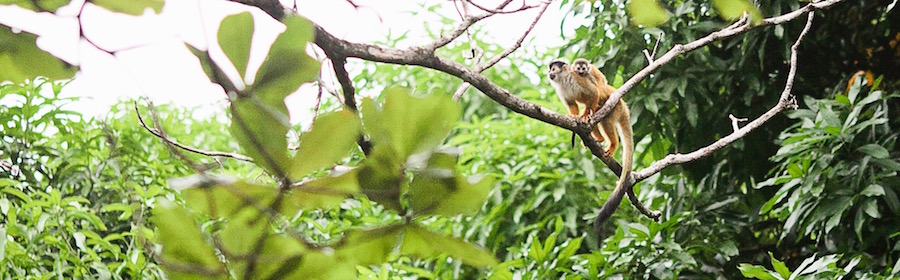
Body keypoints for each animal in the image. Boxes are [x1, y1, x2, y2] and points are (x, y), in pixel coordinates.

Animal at [544, 58, 636, 231]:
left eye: (553, 69)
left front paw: (586, 115)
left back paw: (611, 143)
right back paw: (598, 138)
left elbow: (593, 93)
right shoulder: (562, 90)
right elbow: (572, 105)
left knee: (603, 110)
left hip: (614, 107)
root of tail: (623, 106)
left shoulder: (577, 78)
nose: (549, 73)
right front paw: (574, 116)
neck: (564, 81)